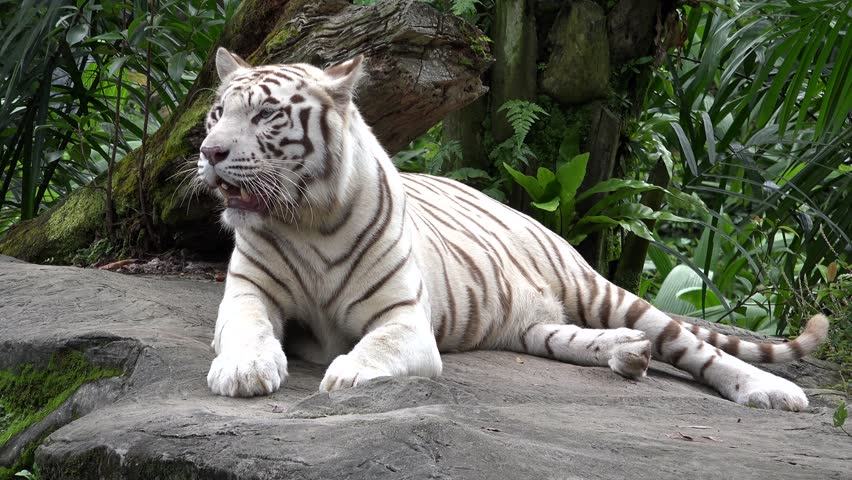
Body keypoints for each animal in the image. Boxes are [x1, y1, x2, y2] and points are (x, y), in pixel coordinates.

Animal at [198, 47, 824, 408]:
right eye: (217, 114)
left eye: (266, 115)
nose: (209, 151)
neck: (306, 218)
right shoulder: (248, 293)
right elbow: (248, 328)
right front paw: (244, 370)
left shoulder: (404, 318)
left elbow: (377, 345)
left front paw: (347, 377)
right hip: (530, 325)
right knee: (572, 337)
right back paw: (628, 354)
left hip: (602, 289)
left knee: (699, 348)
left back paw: (772, 391)